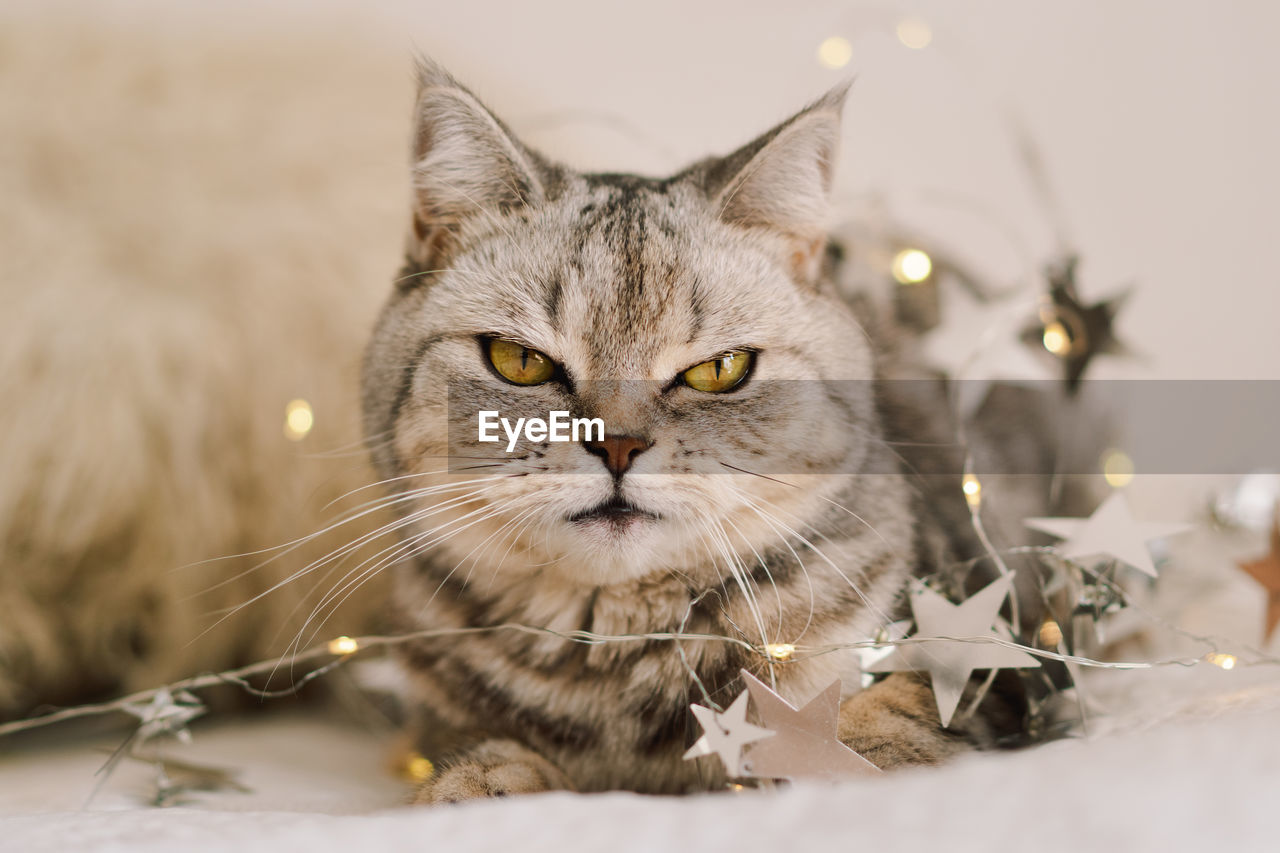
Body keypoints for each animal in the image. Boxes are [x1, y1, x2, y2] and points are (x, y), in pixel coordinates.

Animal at [360, 61, 1059, 804]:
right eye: (520, 361)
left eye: (719, 370)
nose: (618, 444)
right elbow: (473, 747)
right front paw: (487, 779)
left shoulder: (992, 657)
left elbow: (891, 714)